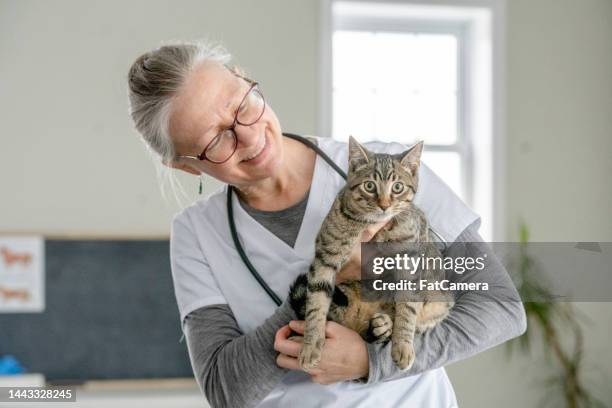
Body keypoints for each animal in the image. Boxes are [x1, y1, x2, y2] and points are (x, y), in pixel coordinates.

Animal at [290, 136, 452, 370]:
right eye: (369, 186)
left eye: (397, 187)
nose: (384, 205)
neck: (376, 228)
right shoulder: (325, 258)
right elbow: (316, 304)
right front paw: (310, 344)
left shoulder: (409, 263)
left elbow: (407, 310)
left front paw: (403, 344)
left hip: (439, 302)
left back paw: (385, 325)